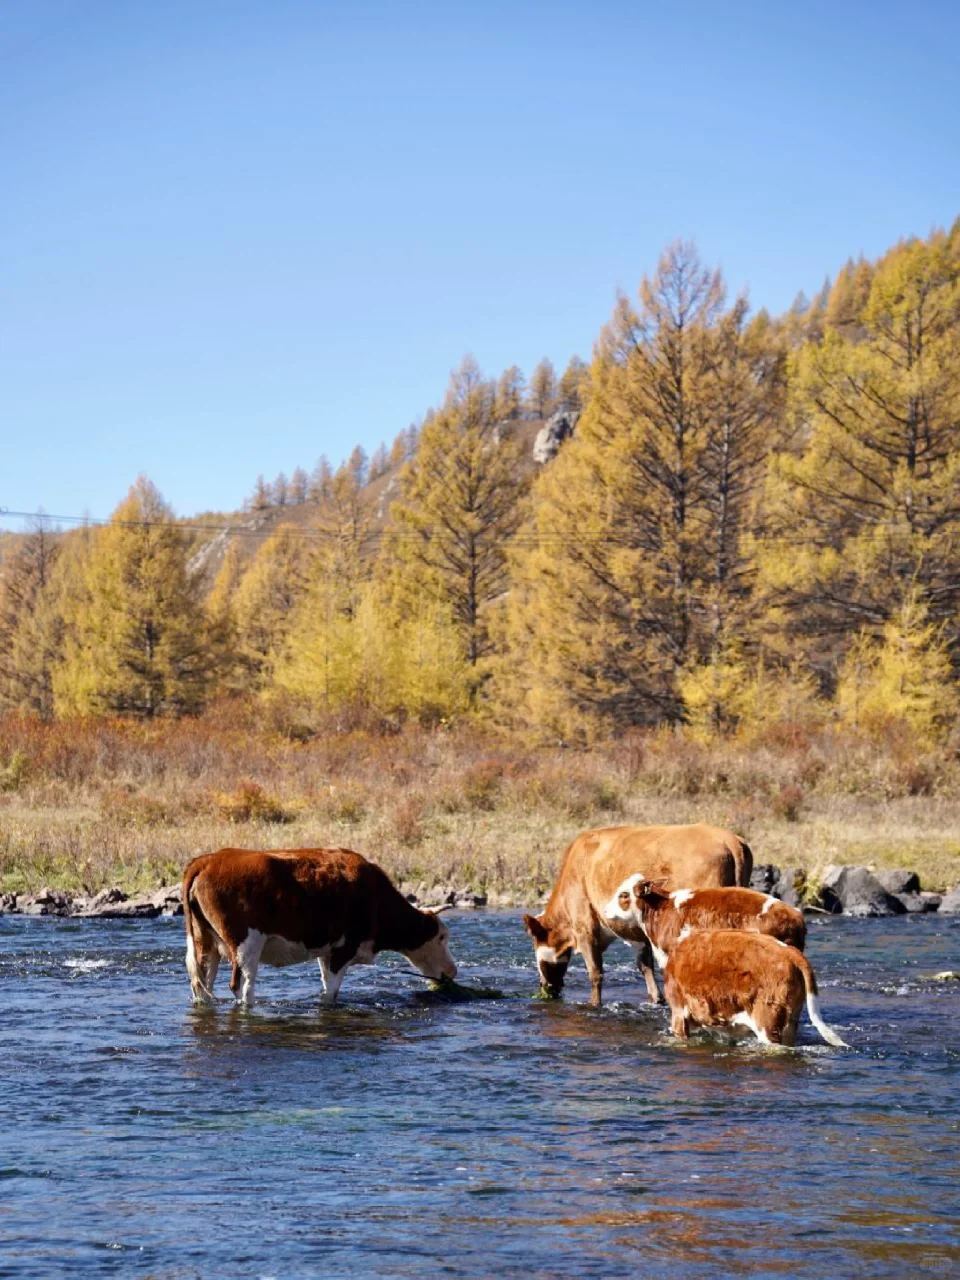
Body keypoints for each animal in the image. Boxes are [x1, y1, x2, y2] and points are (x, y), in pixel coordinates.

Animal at [181, 849, 458, 1008]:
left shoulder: (327, 951)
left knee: (202, 984)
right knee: (241, 986)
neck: (375, 896)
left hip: (206, 943)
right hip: (246, 945)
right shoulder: (344, 948)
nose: (452, 971)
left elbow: (327, 988)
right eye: (442, 937)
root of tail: (208, 860)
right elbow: (332, 990)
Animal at [527, 824, 752, 1003]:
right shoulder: (638, 932)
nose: (544, 987)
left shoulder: (584, 924)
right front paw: (656, 998)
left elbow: (595, 972)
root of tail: (730, 840)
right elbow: (644, 965)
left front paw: (594, 1005)